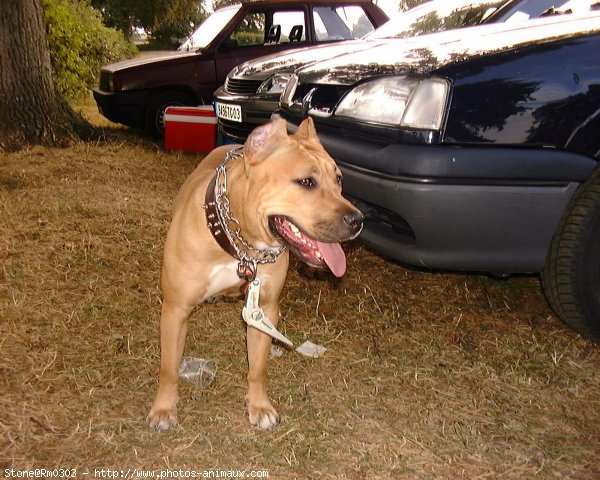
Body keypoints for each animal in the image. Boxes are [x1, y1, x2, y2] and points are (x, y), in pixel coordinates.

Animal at [146, 117, 360, 432]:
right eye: (306, 182)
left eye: (339, 179)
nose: (358, 220)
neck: (238, 244)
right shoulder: (175, 310)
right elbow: (169, 367)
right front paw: (163, 408)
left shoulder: (265, 310)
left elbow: (258, 368)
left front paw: (259, 406)